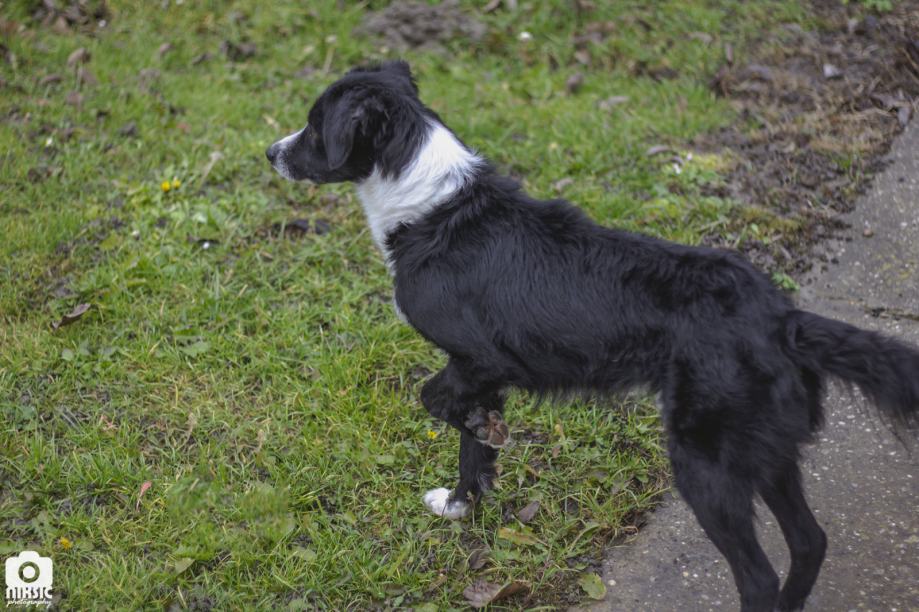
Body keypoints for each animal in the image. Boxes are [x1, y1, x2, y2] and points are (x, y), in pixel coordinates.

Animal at [266, 61, 919, 611]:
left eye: (314, 125)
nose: (270, 152)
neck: (429, 200)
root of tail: (782, 320)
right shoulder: (481, 372)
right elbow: (471, 455)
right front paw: (460, 505)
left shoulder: (477, 359)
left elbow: (438, 402)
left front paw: (481, 432)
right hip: (767, 447)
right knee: (810, 541)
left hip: (705, 458)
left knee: (759, 575)